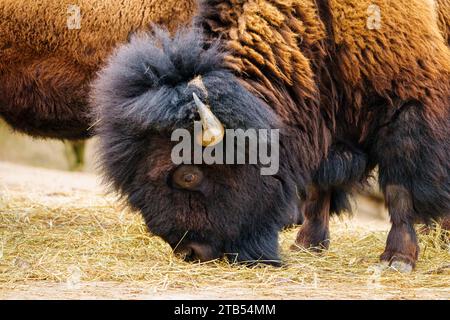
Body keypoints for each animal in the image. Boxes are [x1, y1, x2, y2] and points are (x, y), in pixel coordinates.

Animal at [0, 0, 450, 270]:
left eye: (187, 174)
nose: (191, 252)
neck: (313, 19)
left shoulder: (409, 104)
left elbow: (399, 189)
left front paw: (396, 259)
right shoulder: (326, 112)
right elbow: (321, 185)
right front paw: (307, 243)